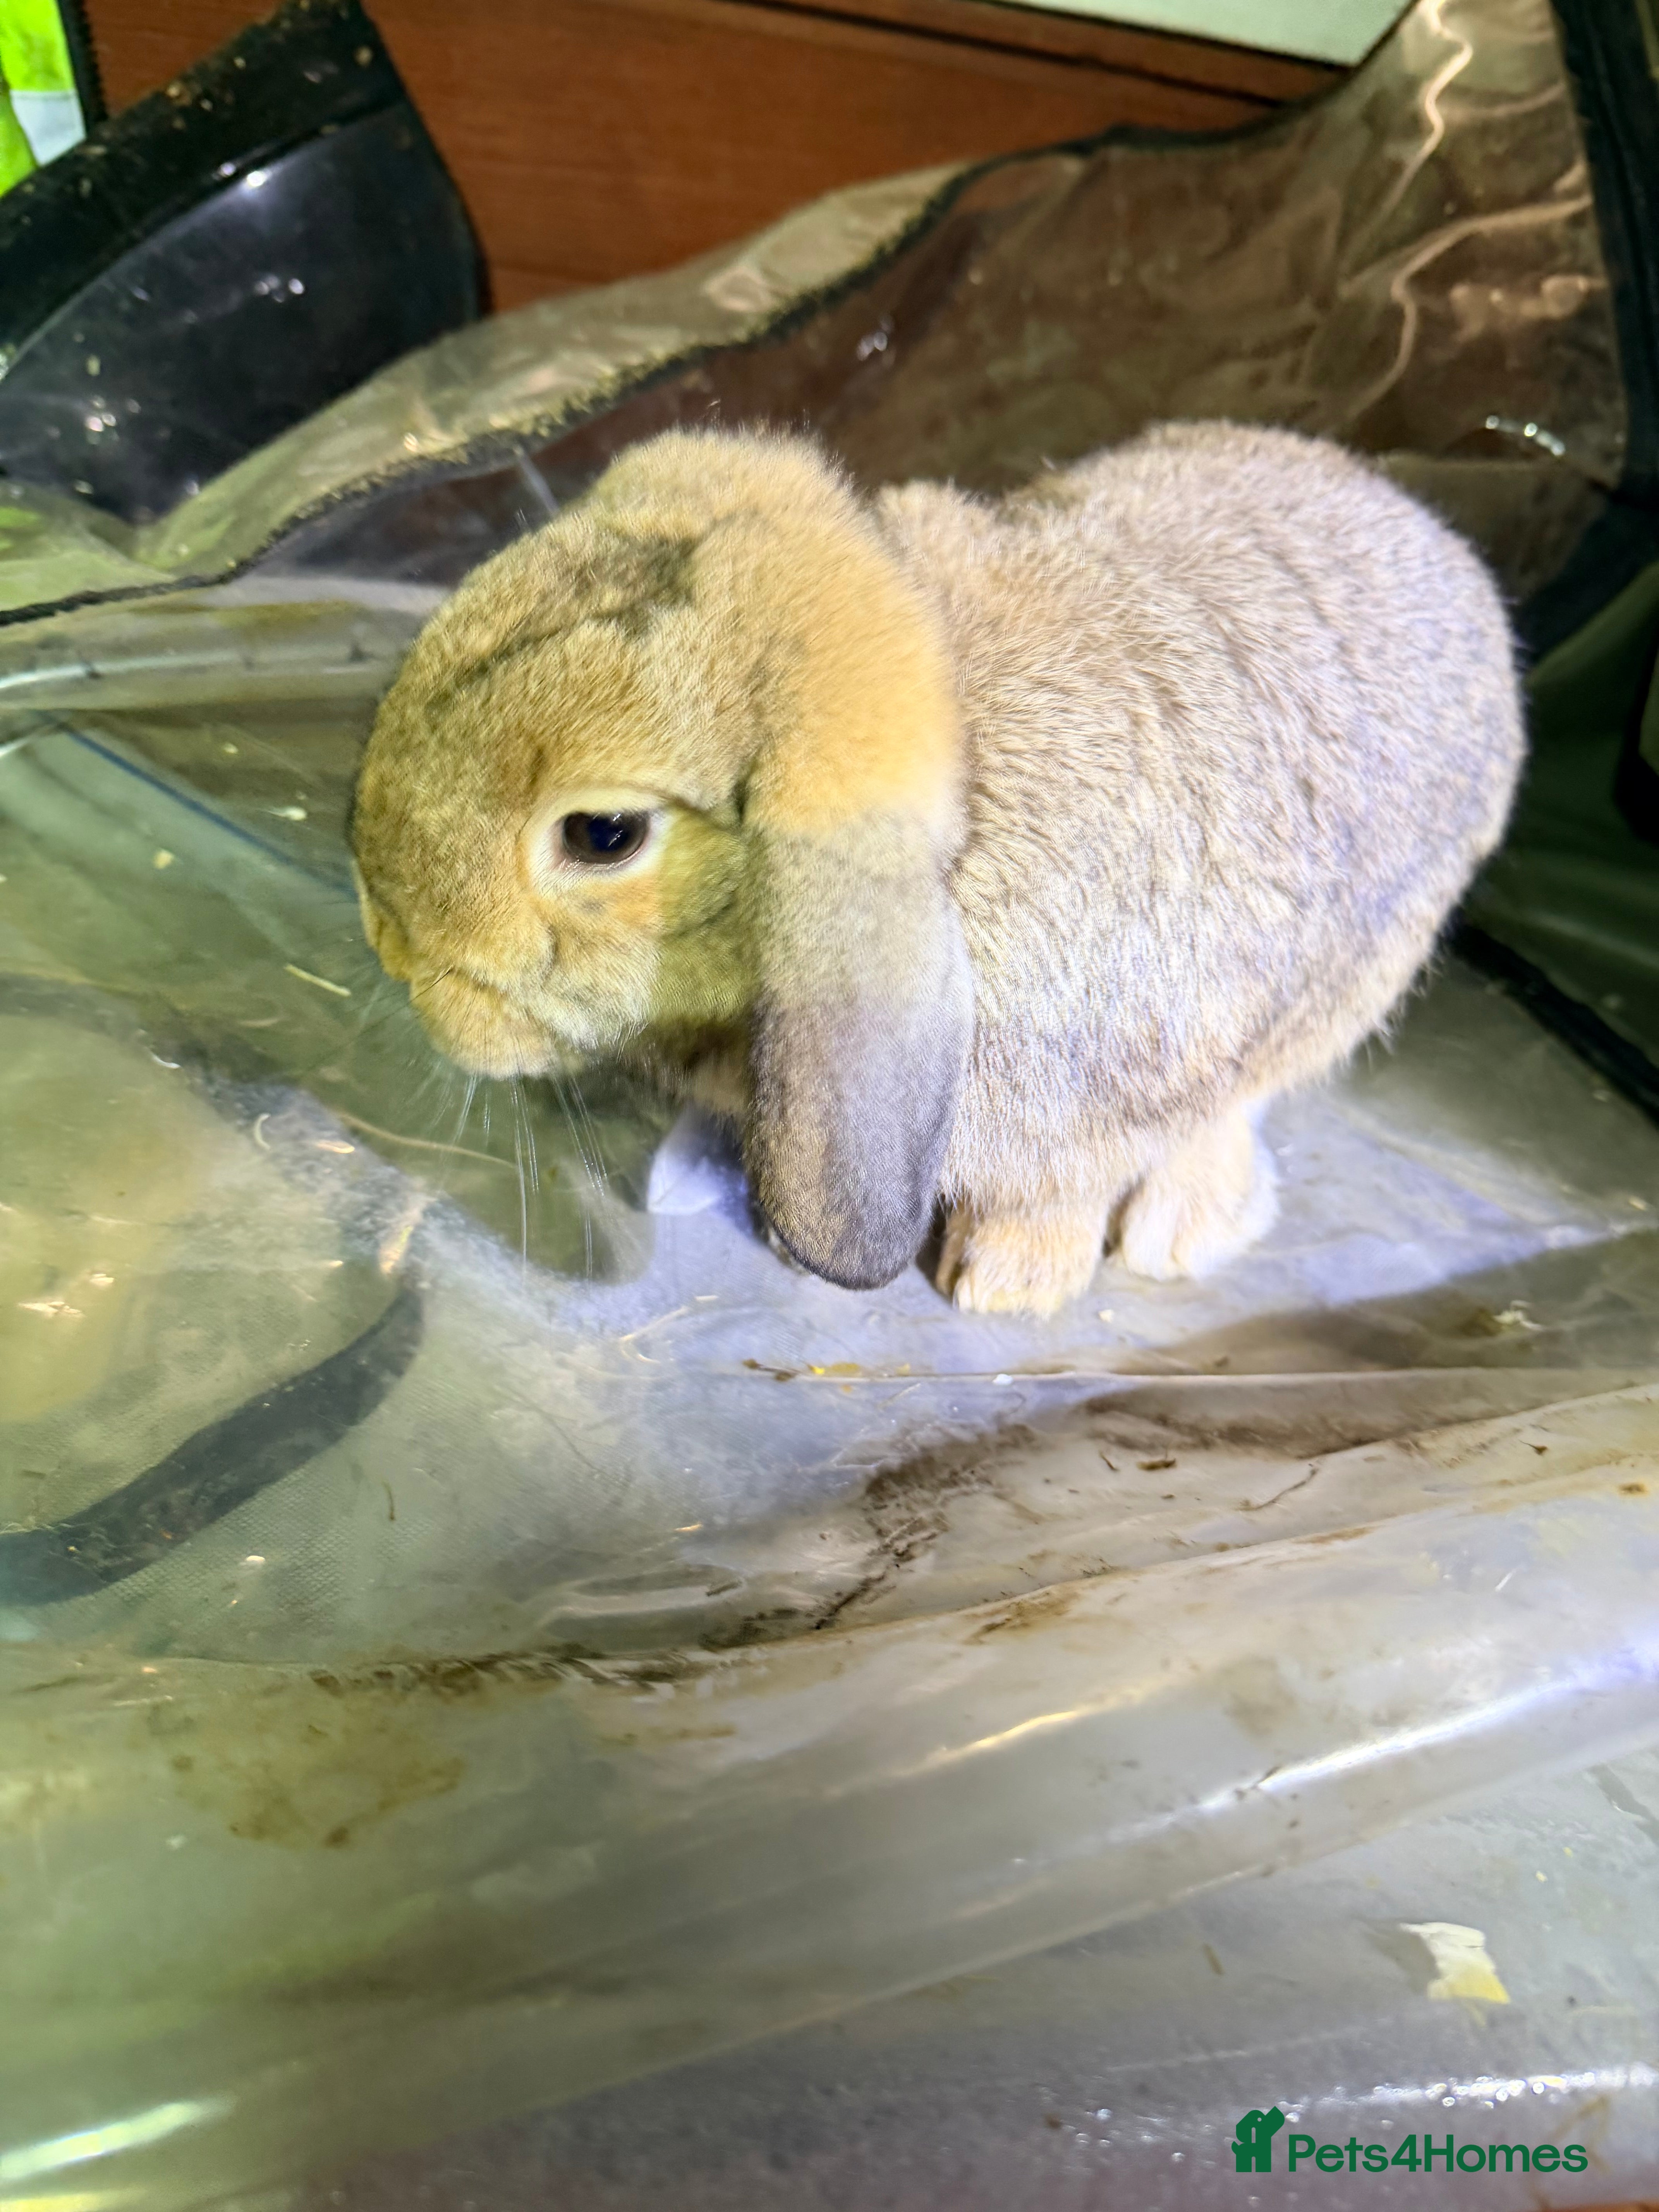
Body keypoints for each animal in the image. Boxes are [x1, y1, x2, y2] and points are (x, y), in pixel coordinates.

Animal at [350, 421, 1524, 1316]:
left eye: (601, 835)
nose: (390, 947)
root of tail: (1441, 546)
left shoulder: (1081, 1105)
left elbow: (1055, 1191)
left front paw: (1003, 1290)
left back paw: (1173, 1235)